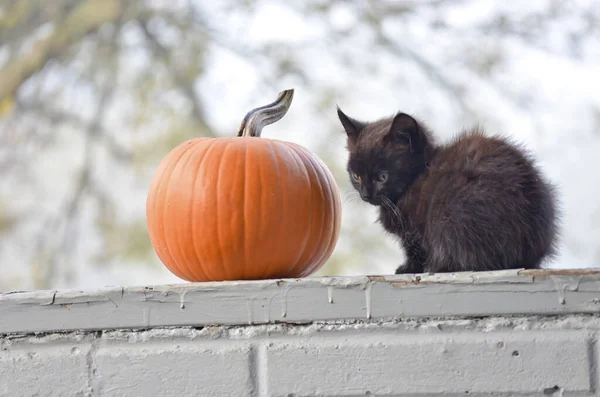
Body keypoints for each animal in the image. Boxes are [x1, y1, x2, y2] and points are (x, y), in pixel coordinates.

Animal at [338, 108, 556, 276]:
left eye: (382, 177)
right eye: (356, 176)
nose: (366, 195)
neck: (417, 176)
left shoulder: (415, 229)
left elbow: (416, 249)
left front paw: (408, 268)